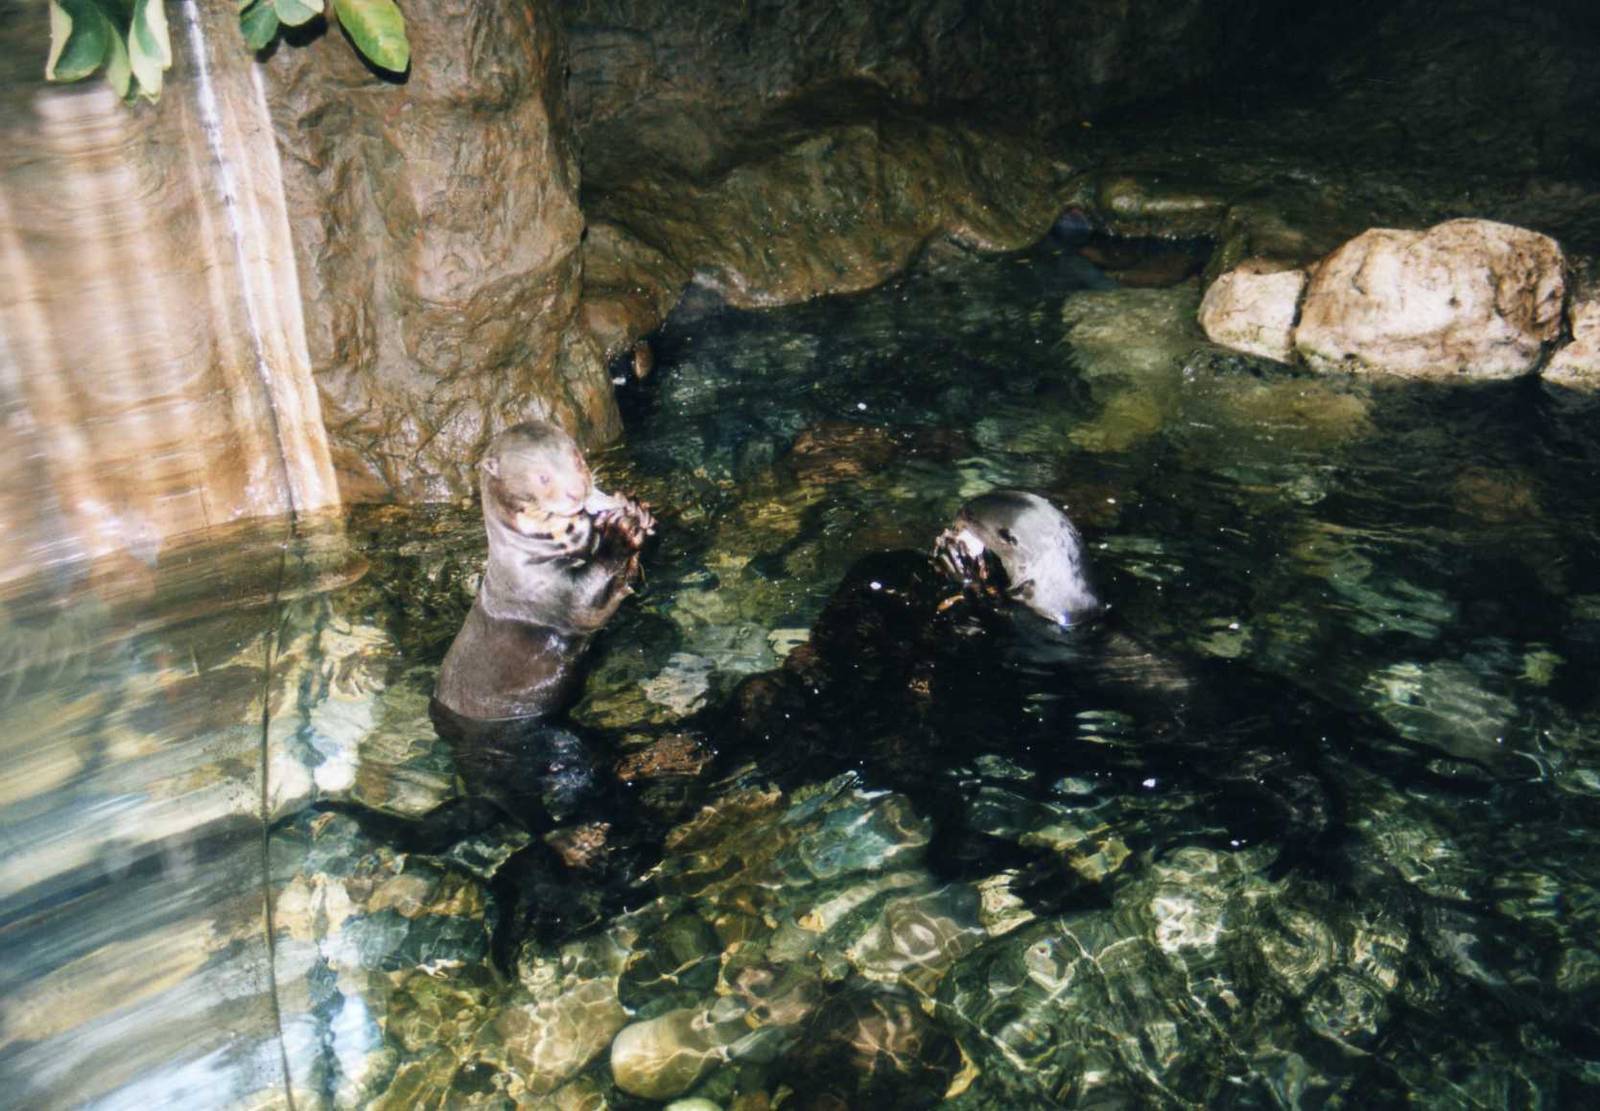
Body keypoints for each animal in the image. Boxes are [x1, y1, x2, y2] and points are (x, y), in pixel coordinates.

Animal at [433, 421, 654, 721]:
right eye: (543, 478)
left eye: (577, 458)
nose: (577, 491)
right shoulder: (547, 591)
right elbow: (588, 605)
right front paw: (620, 532)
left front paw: (634, 510)